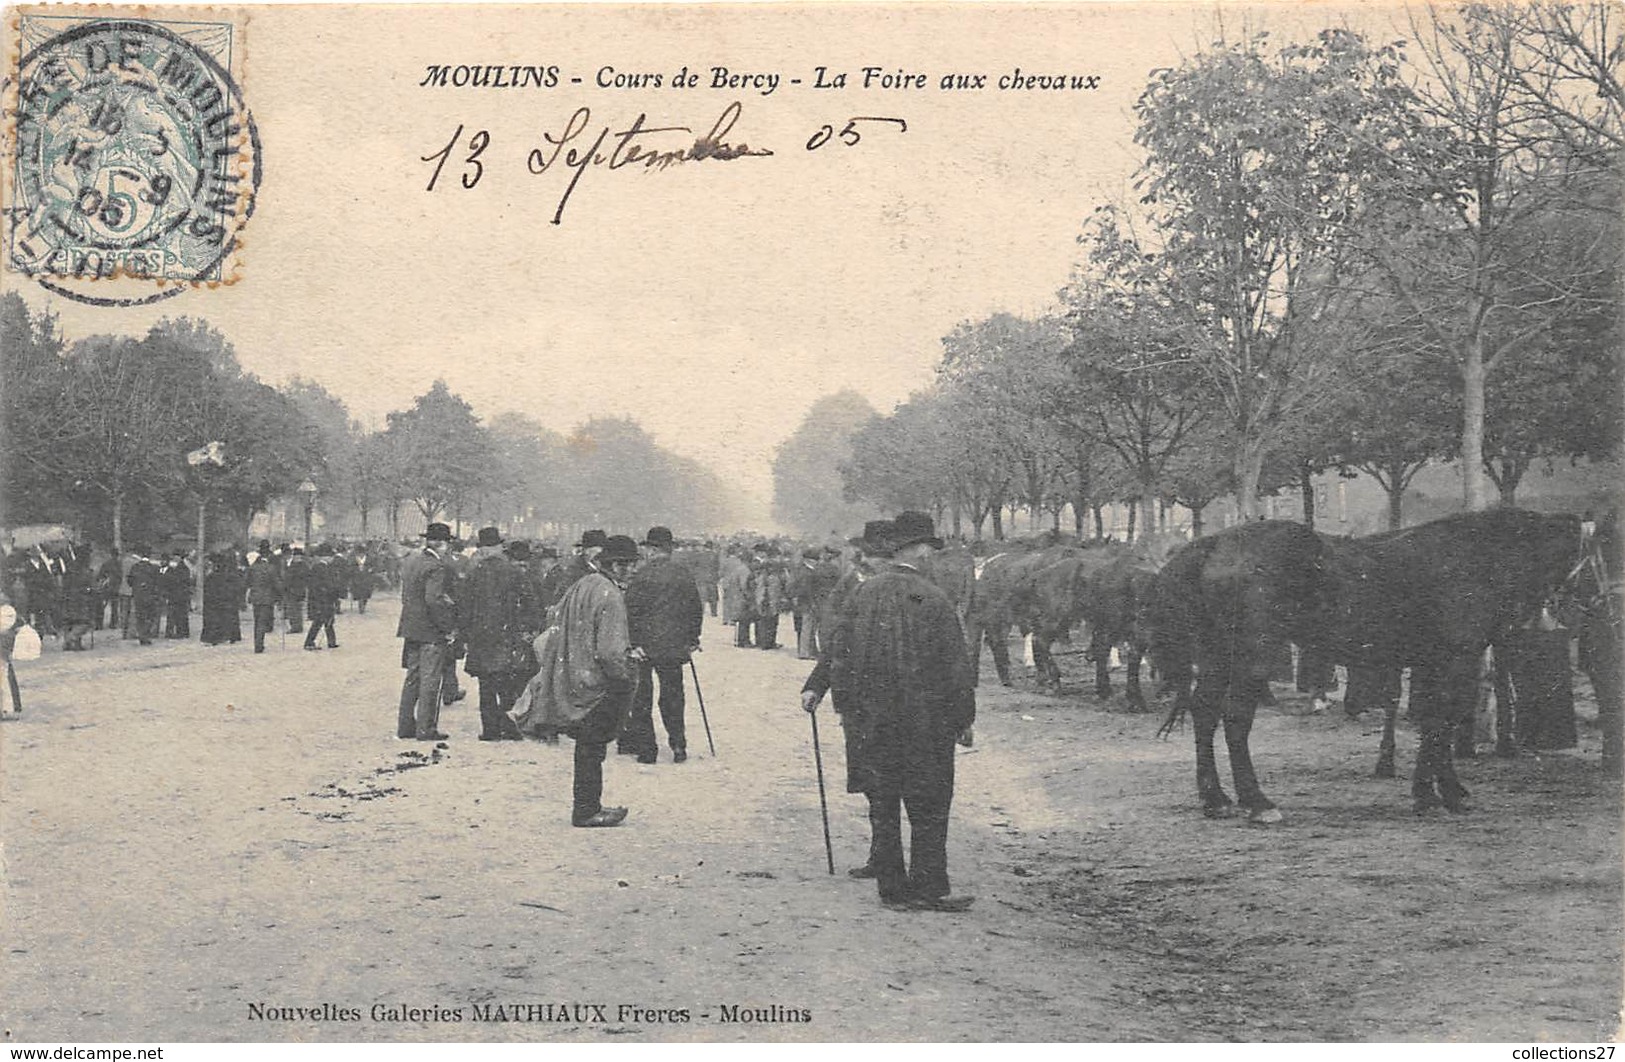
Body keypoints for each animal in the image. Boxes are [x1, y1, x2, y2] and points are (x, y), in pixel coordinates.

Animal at [1157, 513, 1586, 818]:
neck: (1471, 559)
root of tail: (1215, 543)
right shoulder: (1455, 660)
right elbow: (1441, 721)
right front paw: (1437, 795)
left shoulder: (1434, 664)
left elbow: (1435, 723)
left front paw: (1436, 790)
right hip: (1251, 657)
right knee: (1234, 718)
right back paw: (1257, 801)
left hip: (1217, 656)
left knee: (1205, 713)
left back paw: (1216, 798)